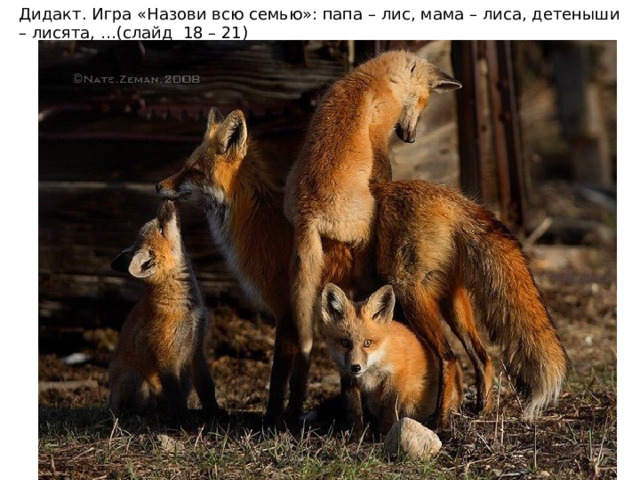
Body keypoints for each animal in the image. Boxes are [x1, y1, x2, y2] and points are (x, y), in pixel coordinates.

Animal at [108, 200, 220, 422]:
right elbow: (175, 396)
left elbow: (207, 388)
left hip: (184, 378)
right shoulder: (165, 355)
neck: (185, 308)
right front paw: (183, 422)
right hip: (134, 377)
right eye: (160, 227)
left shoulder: (196, 349)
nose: (167, 201)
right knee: (139, 408)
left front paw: (216, 414)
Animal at [320, 283, 463, 435]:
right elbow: (353, 409)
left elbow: (388, 406)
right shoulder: (348, 378)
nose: (355, 367)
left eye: (367, 343)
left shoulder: (396, 373)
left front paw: (384, 432)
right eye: (345, 343)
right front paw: (355, 434)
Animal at [372, 180, 569, 420]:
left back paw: (439, 420)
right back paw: (481, 409)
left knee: (449, 357)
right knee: (483, 357)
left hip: (409, 292)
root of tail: (453, 197)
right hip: (451, 302)